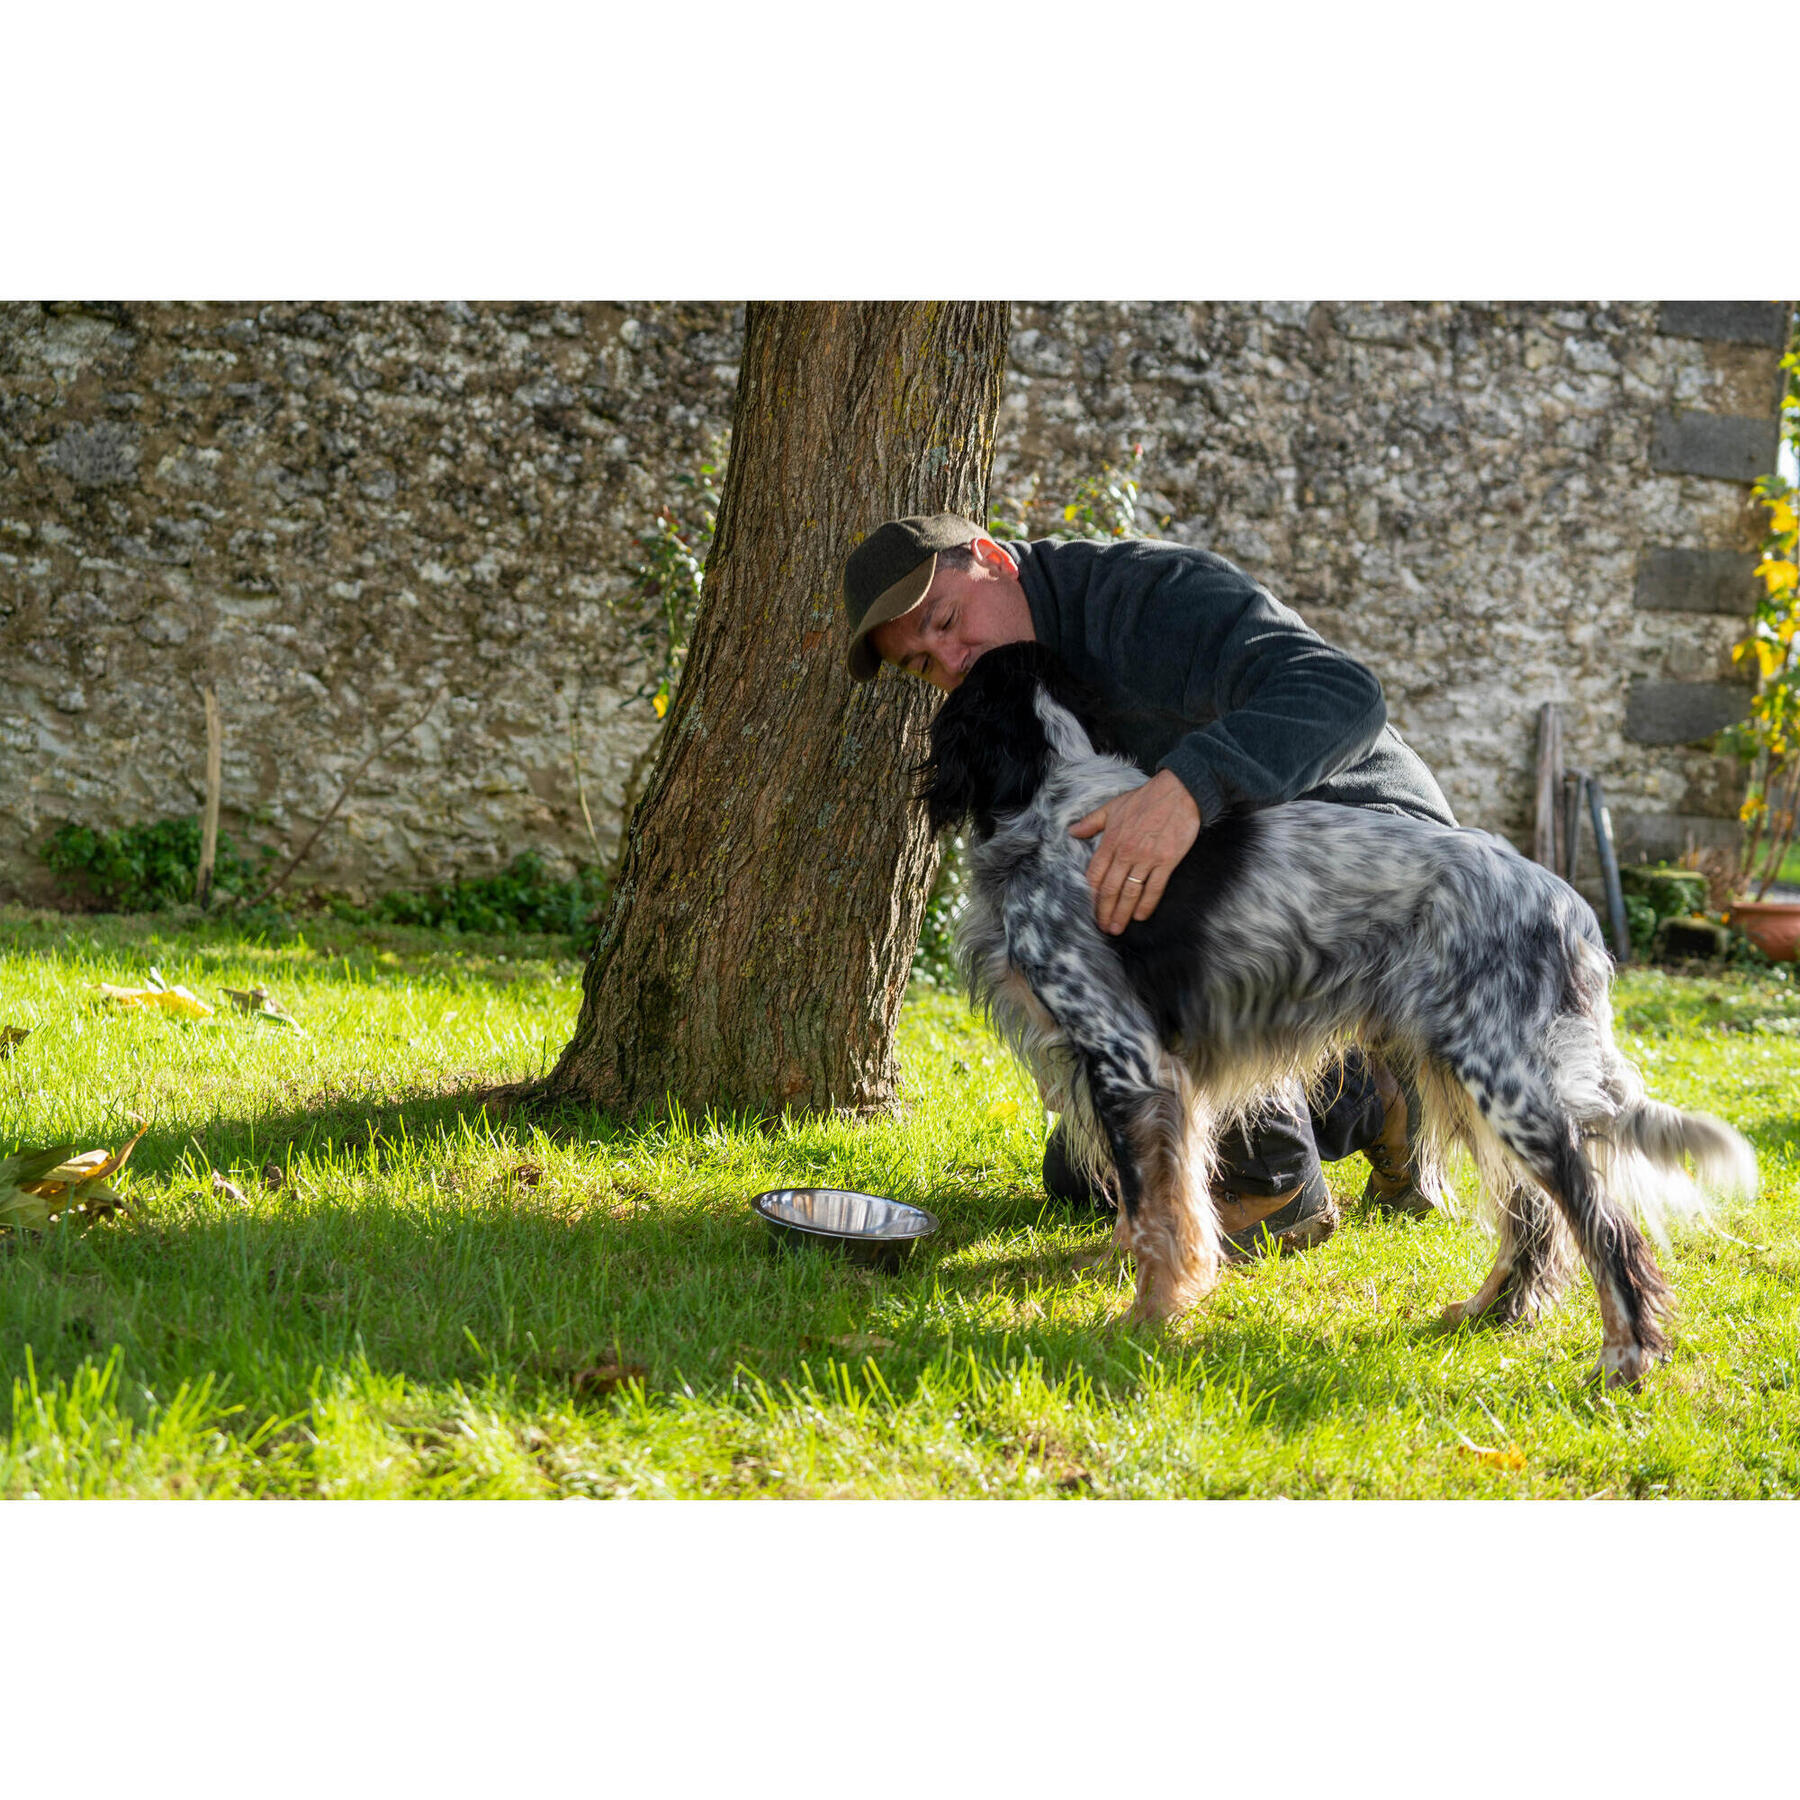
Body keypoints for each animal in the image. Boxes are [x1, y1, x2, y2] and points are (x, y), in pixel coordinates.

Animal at [921, 640, 1764, 1382]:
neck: (1051, 794)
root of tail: (1569, 907)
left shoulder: (1129, 1059)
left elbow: (1156, 1209)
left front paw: (1147, 1318)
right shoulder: (1163, 1084)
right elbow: (1163, 1201)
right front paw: (1136, 1281)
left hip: (1507, 1086)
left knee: (1603, 1226)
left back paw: (1627, 1358)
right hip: (1472, 1080)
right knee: (1532, 1221)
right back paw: (1491, 1312)